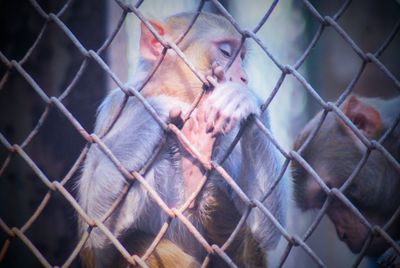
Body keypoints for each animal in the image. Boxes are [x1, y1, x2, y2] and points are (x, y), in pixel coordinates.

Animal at [77, 11, 284, 266]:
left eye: (241, 57)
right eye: (227, 52)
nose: (243, 78)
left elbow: (265, 230)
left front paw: (243, 97)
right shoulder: (116, 108)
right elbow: (96, 238)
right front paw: (159, 107)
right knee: (137, 241)